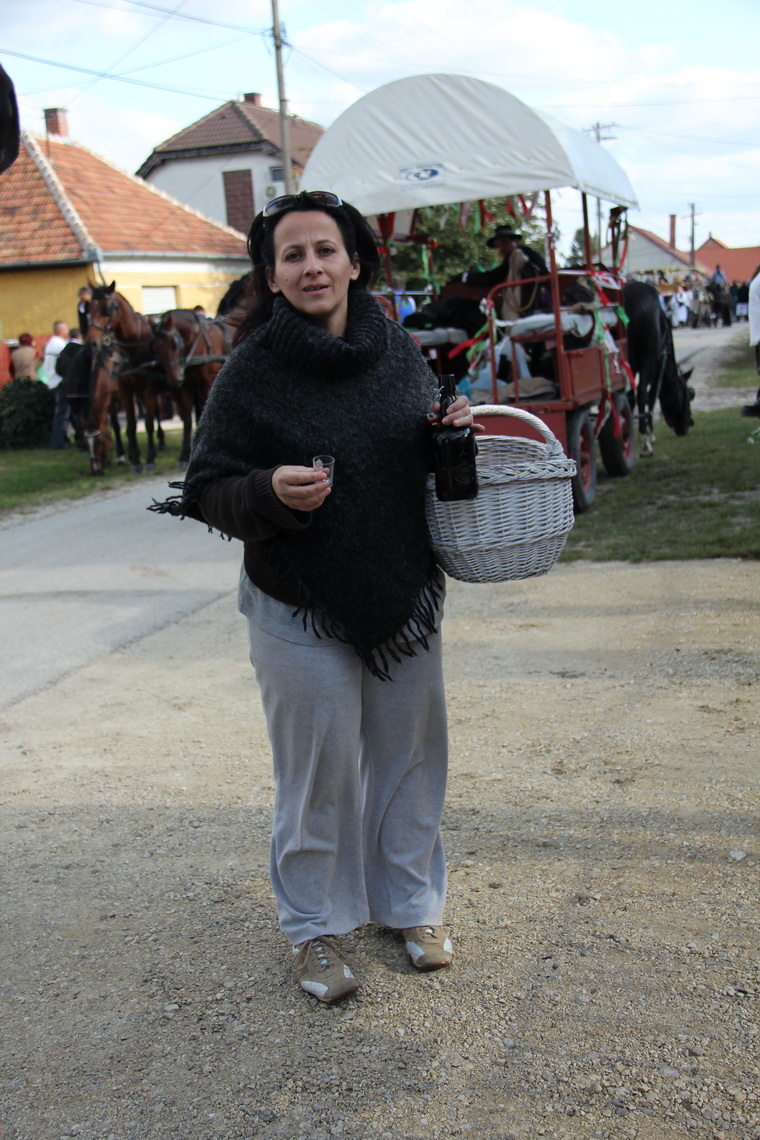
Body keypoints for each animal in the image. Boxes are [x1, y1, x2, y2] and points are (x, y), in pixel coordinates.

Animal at [623, 280, 695, 457]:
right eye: (687, 394)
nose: (688, 424)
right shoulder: (656, 364)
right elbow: (651, 395)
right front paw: (649, 434)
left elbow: (629, 397)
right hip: (647, 359)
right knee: (642, 392)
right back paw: (645, 442)